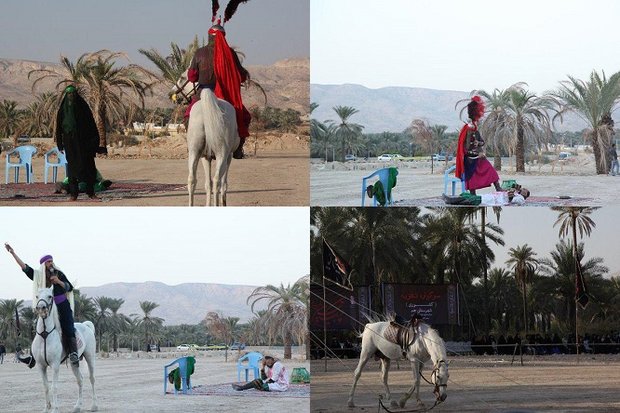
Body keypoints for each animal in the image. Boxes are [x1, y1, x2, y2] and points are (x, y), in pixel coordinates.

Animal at [172, 72, 240, 206]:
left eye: (182, 77)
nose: (173, 94)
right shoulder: (228, 156)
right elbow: (223, 184)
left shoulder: (205, 157)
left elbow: (207, 184)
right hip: (222, 154)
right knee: (217, 180)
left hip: (194, 151)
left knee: (192, 180)